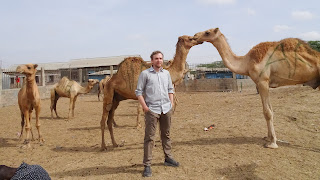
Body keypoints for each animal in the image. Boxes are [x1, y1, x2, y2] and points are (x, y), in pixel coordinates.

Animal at [192, 26, 320, 148]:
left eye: (207, 32)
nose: (195, 36)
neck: (246, 62)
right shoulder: (262, 83)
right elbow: (270, 110)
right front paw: (269, 138)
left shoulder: (263, 81)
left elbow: (267, 112)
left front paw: (272, 143)